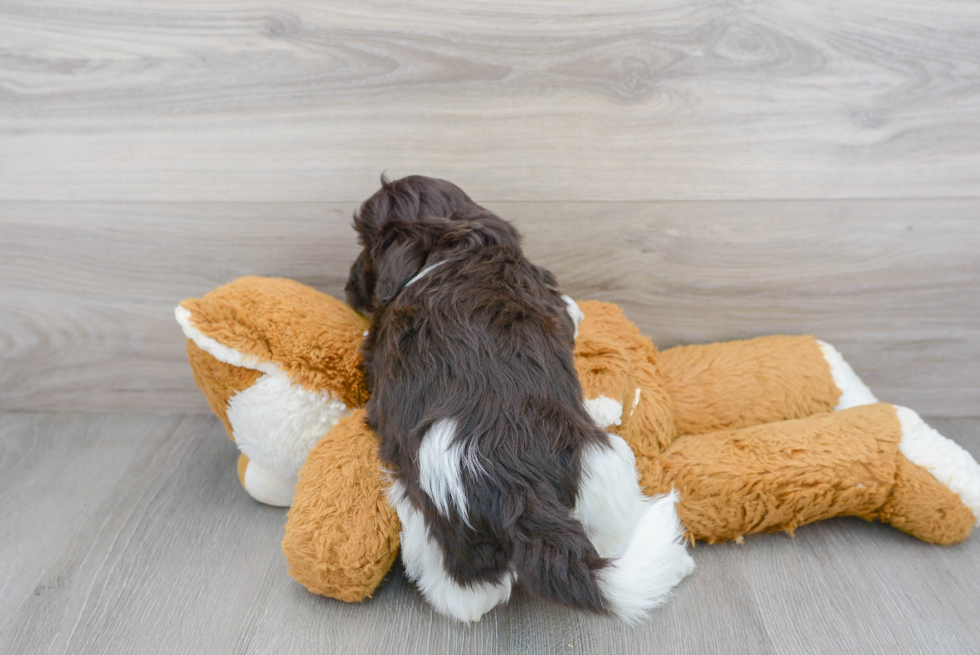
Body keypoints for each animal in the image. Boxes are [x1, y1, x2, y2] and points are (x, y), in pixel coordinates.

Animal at [348, 176, 692, 624]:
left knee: (467, 592)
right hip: (606, 463)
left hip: (434, 516)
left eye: (364, 243)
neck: (456, 241)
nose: (348, 285)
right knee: (617, 537)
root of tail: (515, 486)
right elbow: (566, 309)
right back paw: (674, 561)